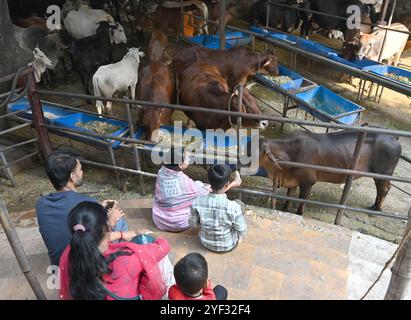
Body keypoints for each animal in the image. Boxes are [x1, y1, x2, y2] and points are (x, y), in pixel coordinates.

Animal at [251, 130, 402, 215]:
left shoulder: (308, 182)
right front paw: (285, 209)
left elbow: (302, 200)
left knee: (385, 188)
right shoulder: (293, 180)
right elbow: (289, 197)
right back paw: (374, 206)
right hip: (378, 175)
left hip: (384, 173)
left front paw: (299, 213)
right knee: (380, 188)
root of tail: (393, 138)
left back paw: (377, 210)